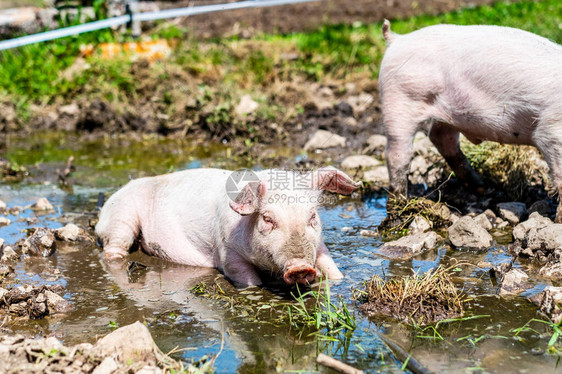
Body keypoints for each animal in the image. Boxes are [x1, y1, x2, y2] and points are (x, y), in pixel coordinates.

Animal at [95, 167, 358, 286]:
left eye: (312, 216)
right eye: (267, 219)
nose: (301, 267)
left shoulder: (319, 244)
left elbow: (331, 267)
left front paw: (335, 279)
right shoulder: (226, 251)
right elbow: (248, 278)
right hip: (122, 215)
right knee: (113, 248)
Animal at [376, 20, 560, 219]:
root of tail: (397, 39)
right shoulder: (552, 132)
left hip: (446, 114)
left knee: (440, 137)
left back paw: (480, 188)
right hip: (399, 102)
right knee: (397, 154)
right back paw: (399, 204)